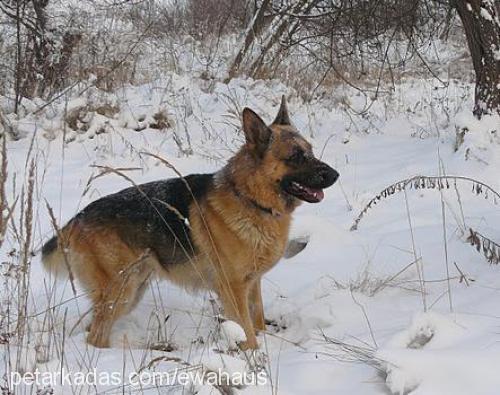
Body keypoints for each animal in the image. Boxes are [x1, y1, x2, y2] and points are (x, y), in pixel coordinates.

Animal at [43, 97, 340, 352]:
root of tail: (76, 219)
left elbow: (257, 323)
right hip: (122, 292)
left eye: (311, 151)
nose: (336, 175)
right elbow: (248, 334)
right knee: (96, 337)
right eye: (296, 156)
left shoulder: (252, 285)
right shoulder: (233, 290)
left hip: (132, 290)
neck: (249, 198)